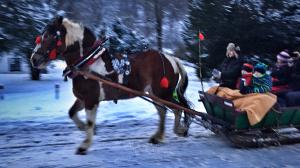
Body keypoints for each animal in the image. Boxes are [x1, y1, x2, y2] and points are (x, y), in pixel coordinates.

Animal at [30, 16, 192, 155]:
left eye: (49, 36)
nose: (34, 59)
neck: (87, 62)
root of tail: (171, 58)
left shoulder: (91, 100)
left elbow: (90, 122)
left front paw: (84, 145)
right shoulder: (83, 98)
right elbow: (72, 113)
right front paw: (83, 127)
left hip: (163, 93)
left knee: (178, 109)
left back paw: (179, 129)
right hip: (154, 94)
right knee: (163, 111)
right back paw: (158, 136)